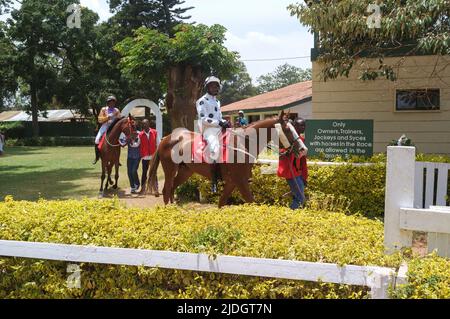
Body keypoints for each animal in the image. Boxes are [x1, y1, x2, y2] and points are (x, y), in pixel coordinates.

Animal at [148, 112, 306, 208]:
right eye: (287, 130)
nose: (303, 149)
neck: (243, 143)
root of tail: (166, 138)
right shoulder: (240, 181)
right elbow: (252, 201)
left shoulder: (232, 182)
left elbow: (222, 202)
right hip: (170, 170)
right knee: (166, 189)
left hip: (185, 171)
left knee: (172, 188)